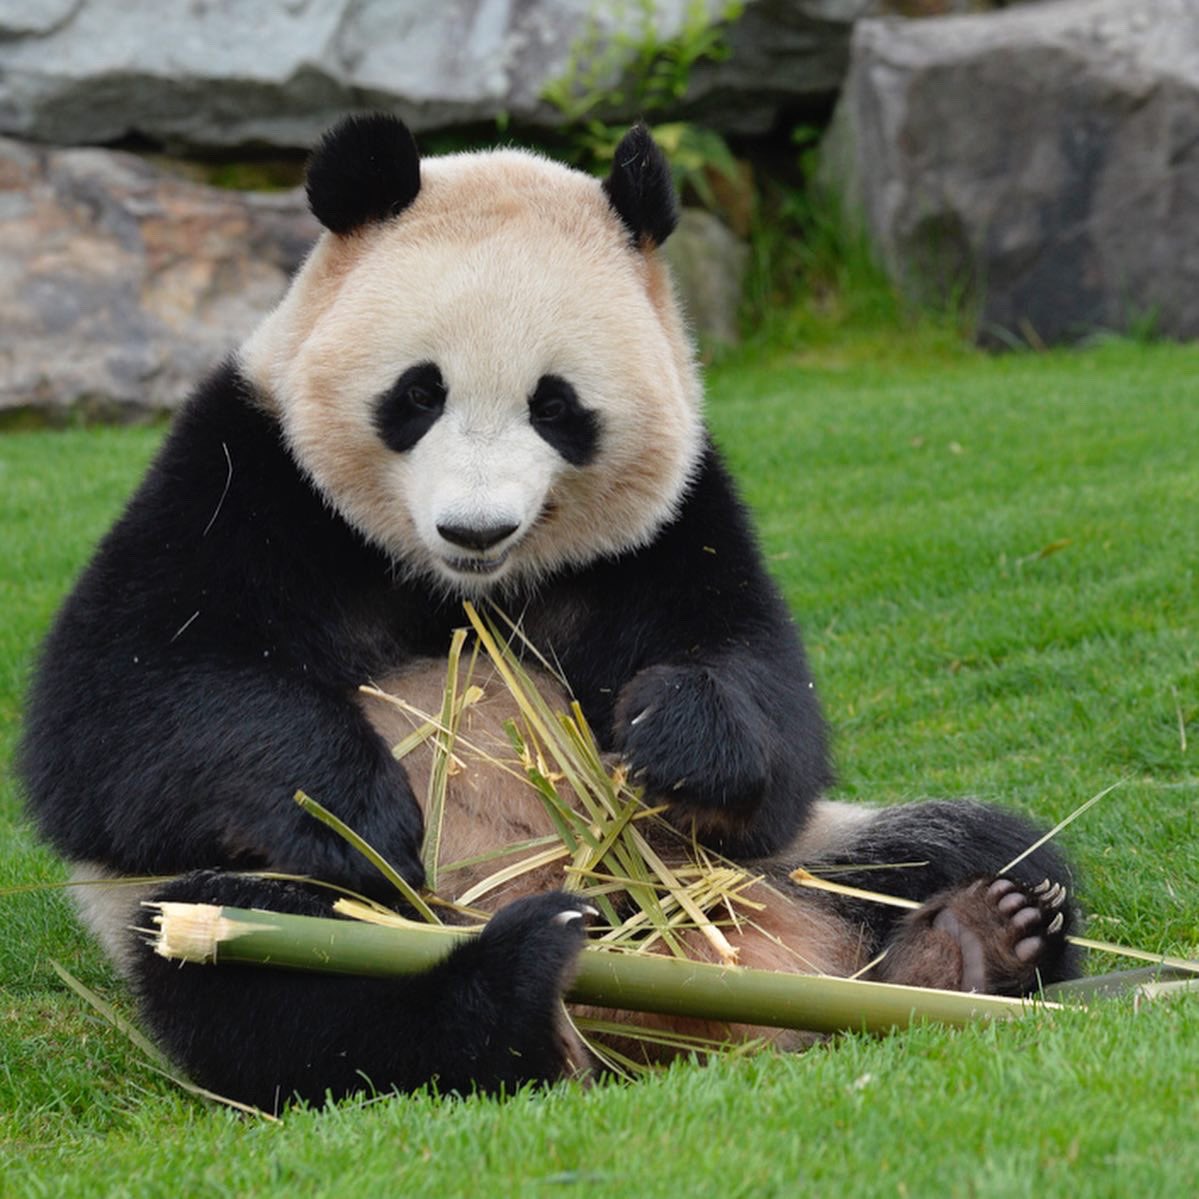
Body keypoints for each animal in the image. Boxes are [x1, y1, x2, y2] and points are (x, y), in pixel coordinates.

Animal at [19, 114, 1080, 1111]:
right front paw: (360, 806)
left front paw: (678, 735)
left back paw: (970, 941)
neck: (458, 588)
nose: (475, 526)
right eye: (418, 392)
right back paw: (506, 988)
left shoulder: (674, 524)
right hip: (243, 916)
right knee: (272, 971)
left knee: (965, 847)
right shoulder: (245, 474)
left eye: (556, 405)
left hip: (789, 862)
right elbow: (116, 722)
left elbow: (768, 706)